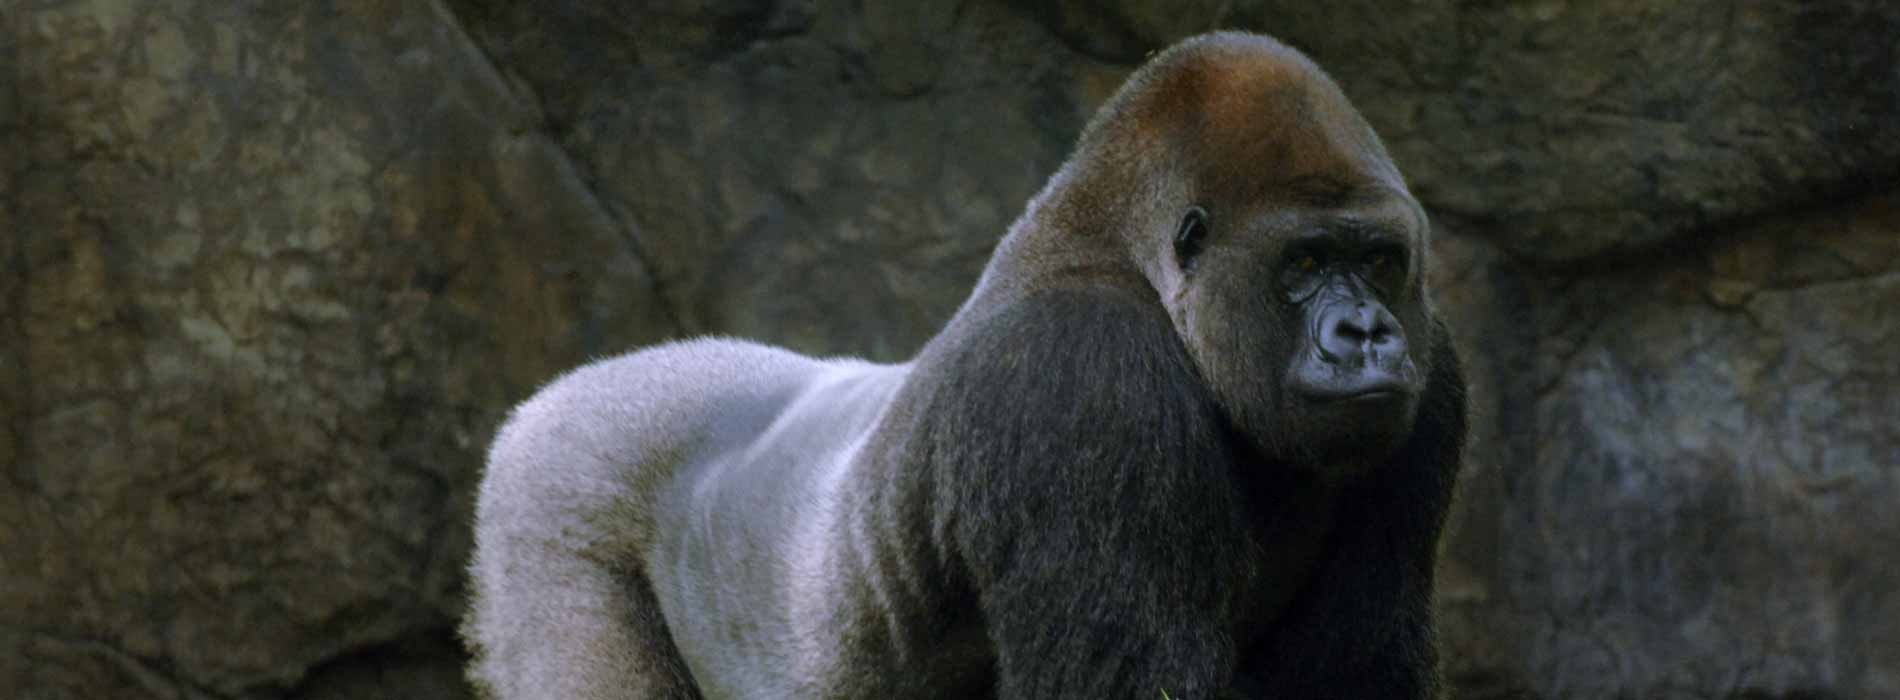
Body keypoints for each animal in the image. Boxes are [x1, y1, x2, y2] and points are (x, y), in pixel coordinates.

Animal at [463, 30, 1466, 700]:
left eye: (1379, 260)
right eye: (1303, 264)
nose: (1367, 333)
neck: (1117, 245)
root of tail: (562, 393)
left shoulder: (1434, 367)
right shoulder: (1083, 380)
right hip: (549, 494)